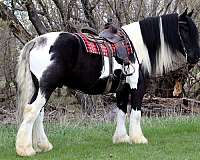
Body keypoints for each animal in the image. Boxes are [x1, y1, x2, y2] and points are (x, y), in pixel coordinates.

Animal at [16, 10, 199, 156]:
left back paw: (43, 145)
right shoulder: (137, 87)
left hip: (41, 88)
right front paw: (138, 139)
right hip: (46, 87)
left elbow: (121, 111)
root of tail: (37, 41)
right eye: (185, 29)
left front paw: (122, 138)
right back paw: (26, 149)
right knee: (32, 110)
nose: (195, 57)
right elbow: (136, 113)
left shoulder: (122, 90)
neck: (135, 46)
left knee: (38, 113)